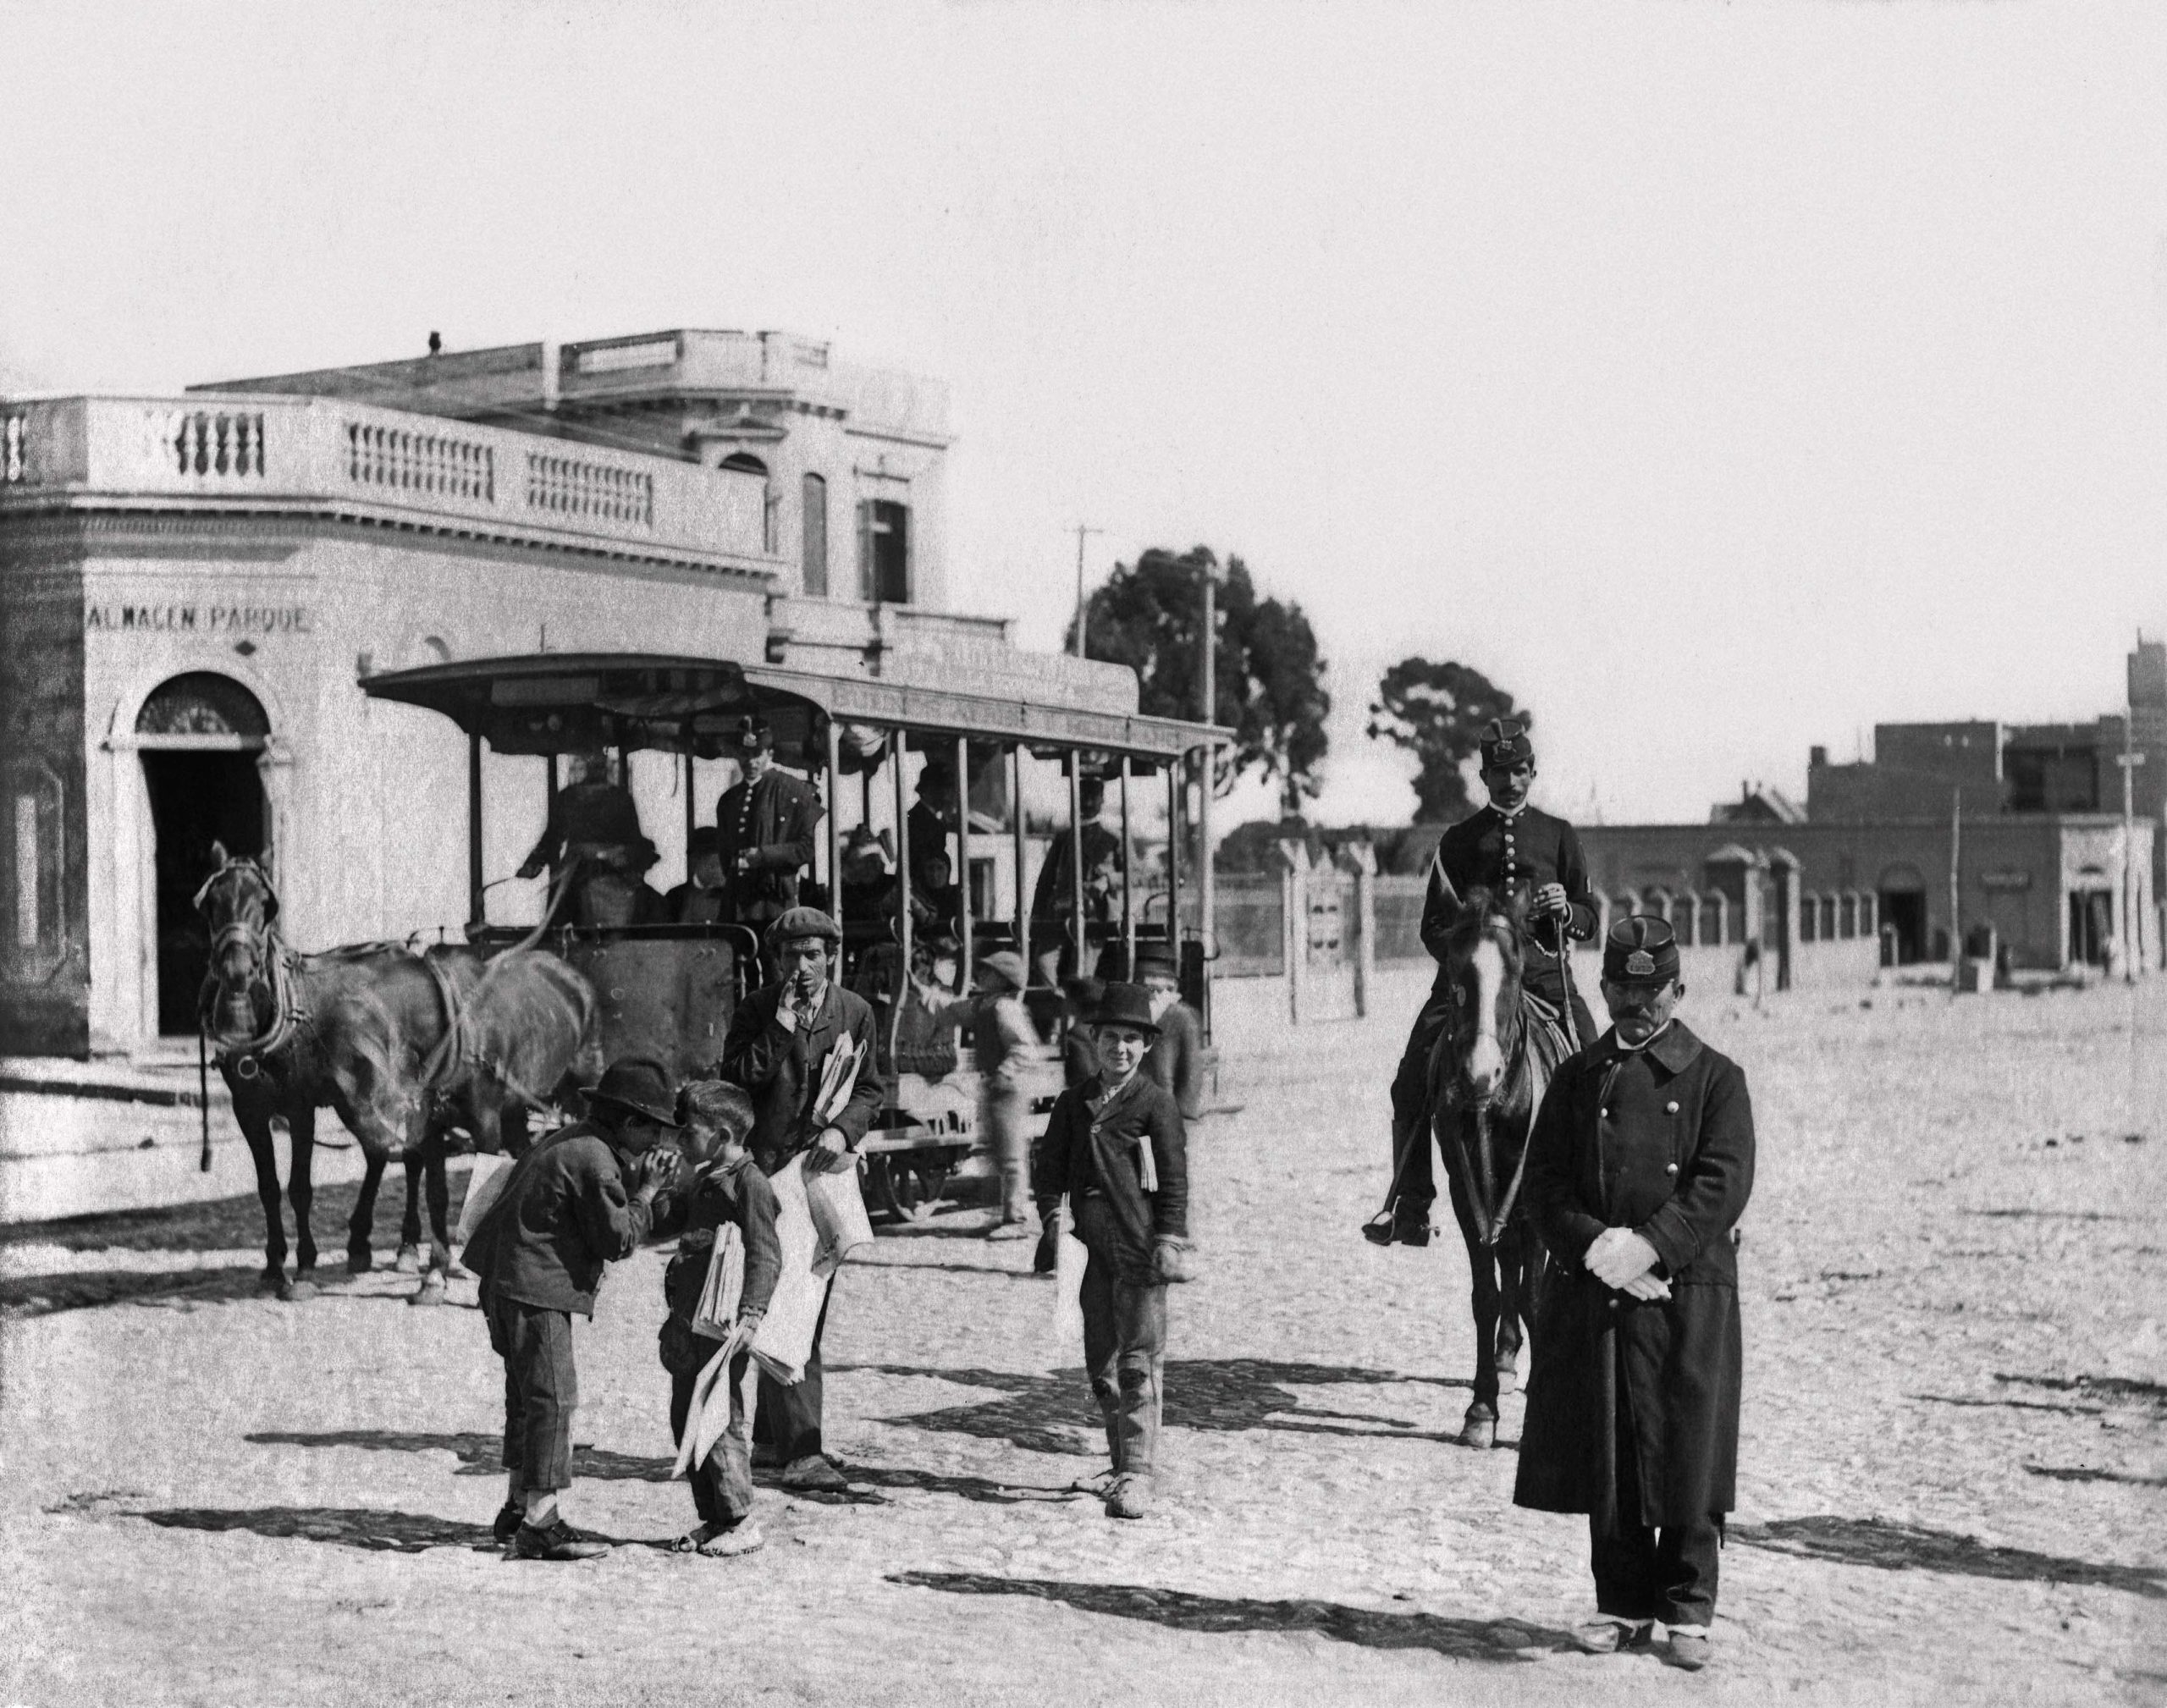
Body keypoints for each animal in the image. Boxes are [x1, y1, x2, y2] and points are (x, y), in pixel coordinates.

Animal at [195, 845, 598, 1300]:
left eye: (266, 905)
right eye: (211, 903)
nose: (237, 973)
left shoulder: (300, 1107)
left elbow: (300, 1188)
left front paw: (305, 1268)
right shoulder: (249, 1108)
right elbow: (267, 1187)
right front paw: (273, 1265)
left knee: (400, 1155)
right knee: (391, 1155)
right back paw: (374, 1245)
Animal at [1421, 888, 1577, 1447]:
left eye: (1514, 971)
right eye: (1455, 972)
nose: (1478, 1074)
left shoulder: (1533, 1197)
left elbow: (1533, 1296)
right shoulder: (1467, 1197)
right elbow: (1486, 1296)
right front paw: (1482, 1409)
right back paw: (1506, 1361)